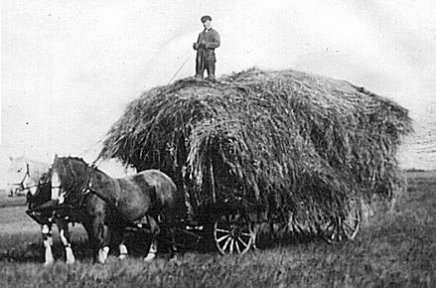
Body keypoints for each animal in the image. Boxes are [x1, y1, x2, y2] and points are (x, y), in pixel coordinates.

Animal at [50, 156, 185, 262]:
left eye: (63, 175)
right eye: (50, 175)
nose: (55, 200)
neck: (91, 188)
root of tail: (167, 178)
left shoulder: (97, 219)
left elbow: (98, 239)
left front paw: (100, 261)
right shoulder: (86, 221)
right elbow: (93, 240)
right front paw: (96, 260)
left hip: (167, 212)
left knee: (171, 230)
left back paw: (173, 256)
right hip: (151, 213)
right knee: (155, 231)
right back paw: (149, 256)